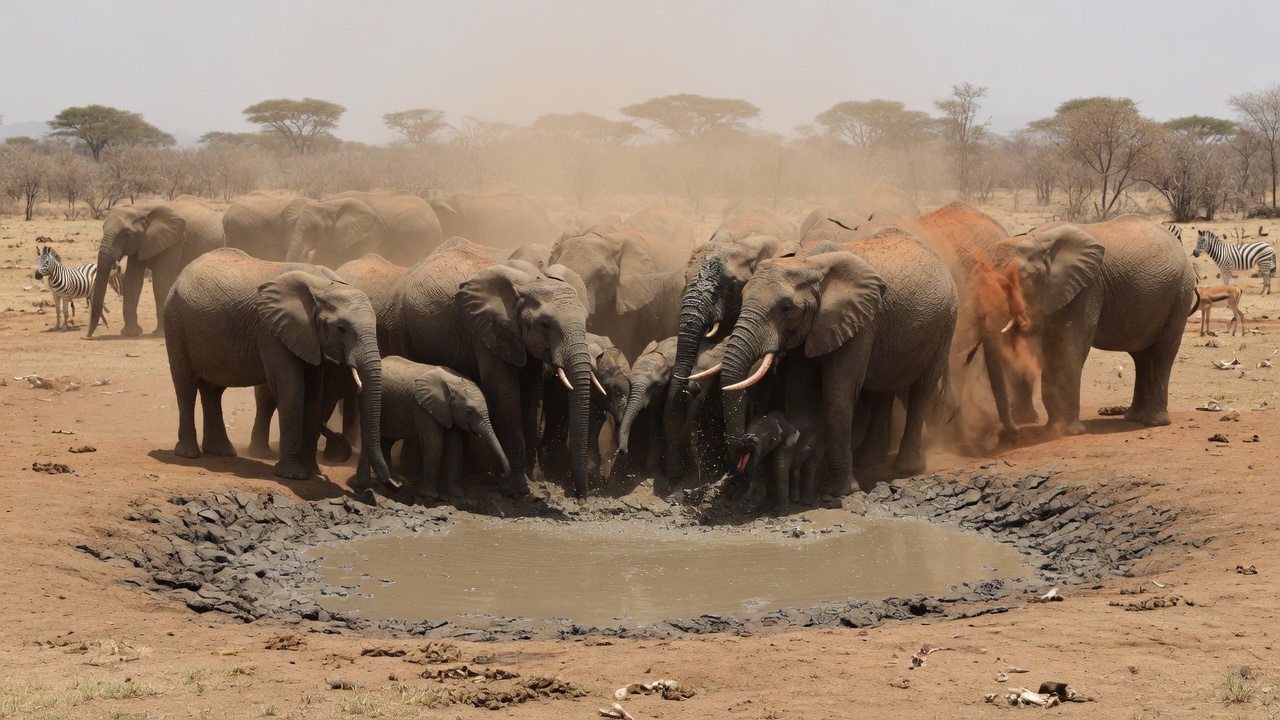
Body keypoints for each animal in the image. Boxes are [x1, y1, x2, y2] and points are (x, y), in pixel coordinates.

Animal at [87, 195, 224, 338]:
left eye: (127, 233)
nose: (87, 336)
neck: (140, 209)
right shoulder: (140, 243)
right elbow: (132, 282)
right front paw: (131, 333)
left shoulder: (173, 243)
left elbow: (161, 283)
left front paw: (159, 334)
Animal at [162, 248, 390, 486]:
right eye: (341, 329)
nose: (391, 483)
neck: (323, 286)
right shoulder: (271, 330)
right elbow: (291, 390)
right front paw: (293, 475)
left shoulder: (309, 337)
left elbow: (314, 394)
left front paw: (312, 472)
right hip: (175, 322)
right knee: (186, 386)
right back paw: (189, 454)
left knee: (213, 390)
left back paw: (221, 452)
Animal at [378, 356, 509, 501]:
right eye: (468, 412)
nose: (502, 476)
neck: (453, 382)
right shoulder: (422, 407)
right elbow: (434, 443)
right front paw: (430, 495)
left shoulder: (448, 412)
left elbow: (454, 446)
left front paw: (458, 494)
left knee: (386, 442)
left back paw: (393, 482)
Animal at [718, 223, 958, 495]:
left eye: (786, 309)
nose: (746, 442)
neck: (808, 263)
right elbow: (801, 388)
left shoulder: (861, 322)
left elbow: (838, 392)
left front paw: (842, 491)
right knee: (884, 389)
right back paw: (869, 460)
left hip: (946, 323)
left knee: (922, 389)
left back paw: (906, 468)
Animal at [989, 215, 1196, 435]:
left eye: (1021, 279)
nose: (1016, 431)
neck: (1037, 239)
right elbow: (1050, 349)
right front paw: (1052, 429)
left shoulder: (1088, 288)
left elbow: (1070, 346)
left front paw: (1068, 431)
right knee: (1141, 356)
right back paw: (1134, 418)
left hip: (1181, 291)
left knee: (1164, 352)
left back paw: (1154, 421)